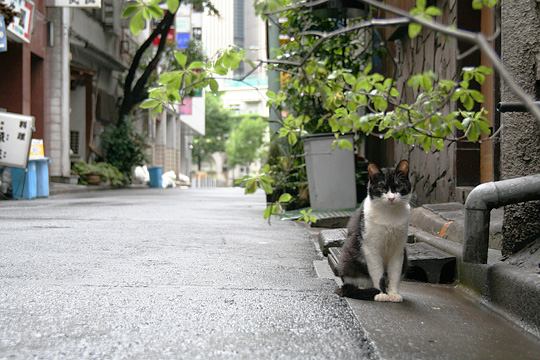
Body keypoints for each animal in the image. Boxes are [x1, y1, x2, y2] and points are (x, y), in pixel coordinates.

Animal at [336, 160, 412, 300]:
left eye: (399, 187)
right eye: (382, 188)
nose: (391, 198)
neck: (389, 215)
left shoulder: (398, 249)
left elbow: (395, 273)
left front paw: (393, 294)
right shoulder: (371, 248)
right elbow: (377, 272)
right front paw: (380, 294)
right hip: (347, 258)